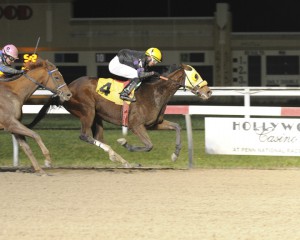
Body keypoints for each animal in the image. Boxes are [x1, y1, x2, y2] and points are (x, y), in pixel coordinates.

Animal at [27, 63, 211, 167]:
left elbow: (178, 127)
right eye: (195, 75)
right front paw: (125, 143)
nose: (208, 92)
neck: (156, 93)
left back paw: (121, 160)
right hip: (87, 111)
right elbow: (149, 145)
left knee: (98, 138)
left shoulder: (154, 124)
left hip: (97, 117)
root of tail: (67, 88)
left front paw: (175, 155)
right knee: (85, 136)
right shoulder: (136, 125)